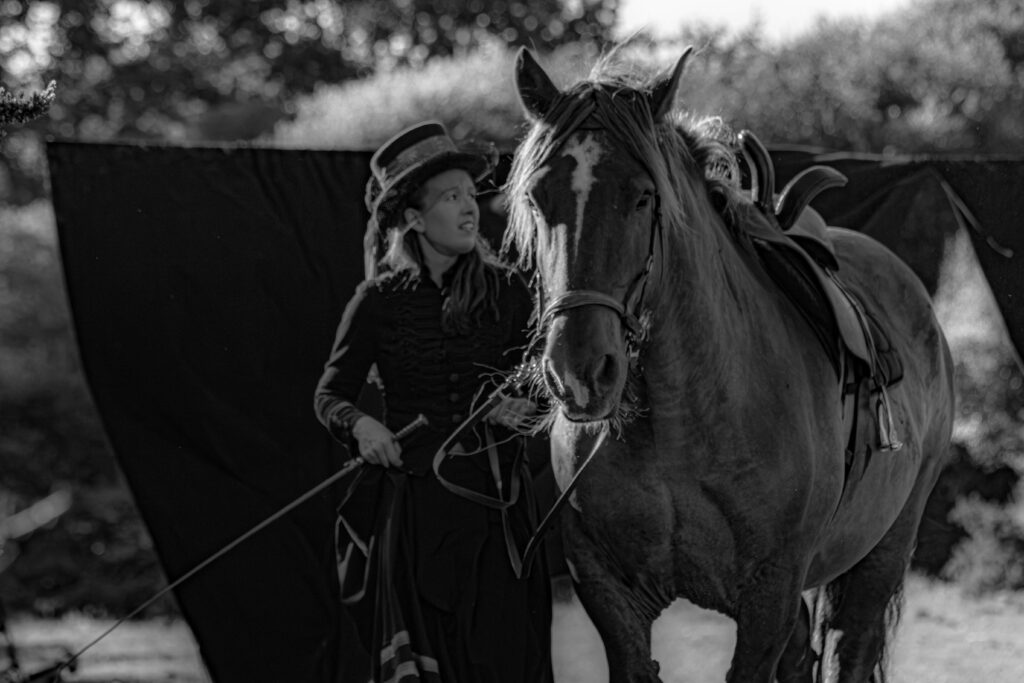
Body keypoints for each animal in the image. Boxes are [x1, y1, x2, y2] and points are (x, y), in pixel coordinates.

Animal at [502, 46, 955, 683]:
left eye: (643, 196)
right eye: (538, 198)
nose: (580, 372)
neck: (683, 416)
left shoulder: (770, 597)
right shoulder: (608, 592)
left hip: (882, 554)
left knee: (849, 648)